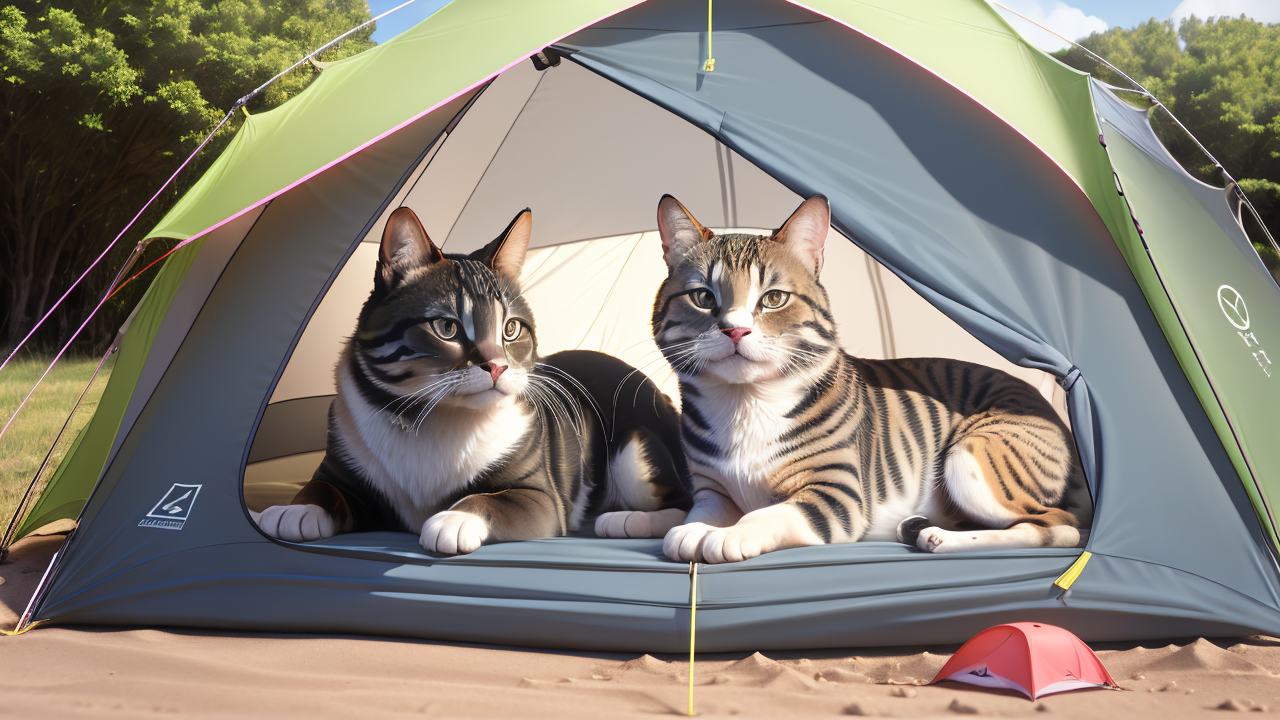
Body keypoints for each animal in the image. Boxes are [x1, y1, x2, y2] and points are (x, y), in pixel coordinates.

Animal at [250, 204, 691, 550]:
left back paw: (627, 520)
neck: (428, 420)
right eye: (446, 327)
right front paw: (294, 509)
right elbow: (321, 487)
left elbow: (490, 500)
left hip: (633, 458)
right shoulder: (342, 467)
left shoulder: (540, 495)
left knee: (682, 503)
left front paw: (453, 518)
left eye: (510, 329)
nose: (496, 366)